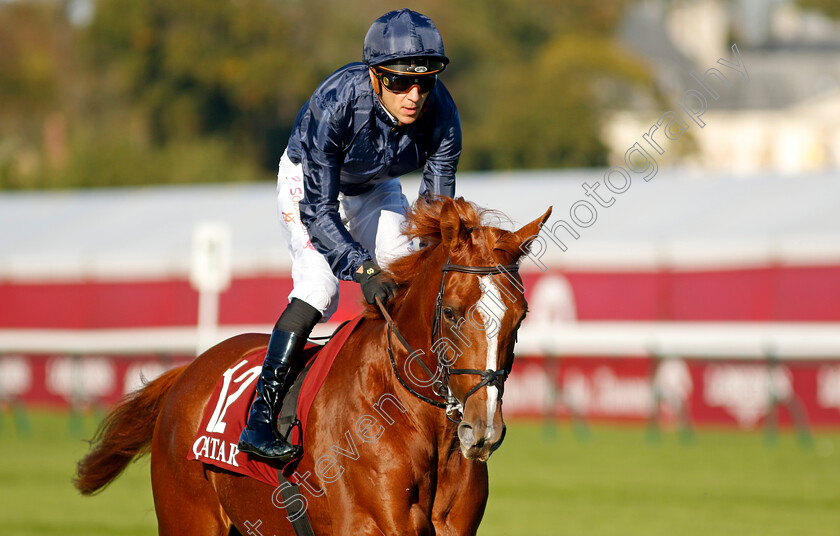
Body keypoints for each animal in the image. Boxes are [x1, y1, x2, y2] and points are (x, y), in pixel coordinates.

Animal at [74, 198, 552, 536]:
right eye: (451, 312)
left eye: (520, 316)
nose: (482, 428)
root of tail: (190, 370)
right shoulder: (370, 526)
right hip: (189, 519)